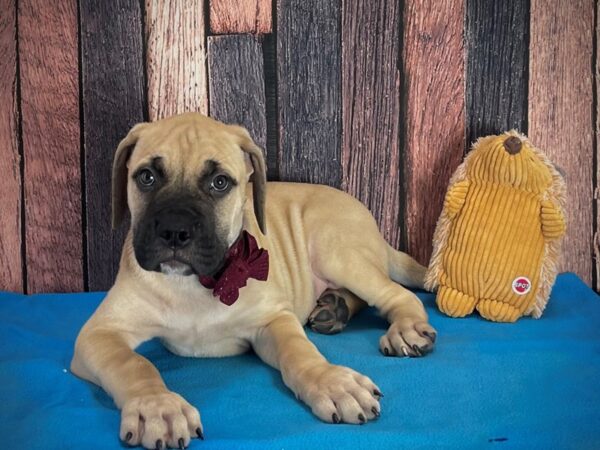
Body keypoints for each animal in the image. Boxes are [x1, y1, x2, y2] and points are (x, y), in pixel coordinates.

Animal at [70, 110, 436, 448]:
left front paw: (331, 381)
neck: (198, 284)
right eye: (146, 177)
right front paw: (158, 406)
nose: (175, 231)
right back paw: (335, 307)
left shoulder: (272, 319)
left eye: (219, 182)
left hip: (335, 249)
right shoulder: (100, 333)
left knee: (398, 294)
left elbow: (298, 351)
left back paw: (402, 328)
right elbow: (133, 364)